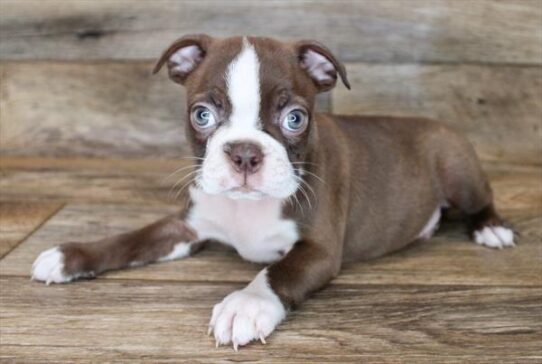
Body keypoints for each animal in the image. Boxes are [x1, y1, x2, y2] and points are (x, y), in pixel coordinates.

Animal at [31, 34, 516, 350]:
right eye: (202, 114)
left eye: (295, 118)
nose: (245, 153)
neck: (247, 210)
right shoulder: (186, 227)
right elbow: (132, 239)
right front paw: (72, 255)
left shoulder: (319, 251)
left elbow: (276, 273)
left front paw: (244, 305)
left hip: (459, 169)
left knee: (482, 200)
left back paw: (491, 228)